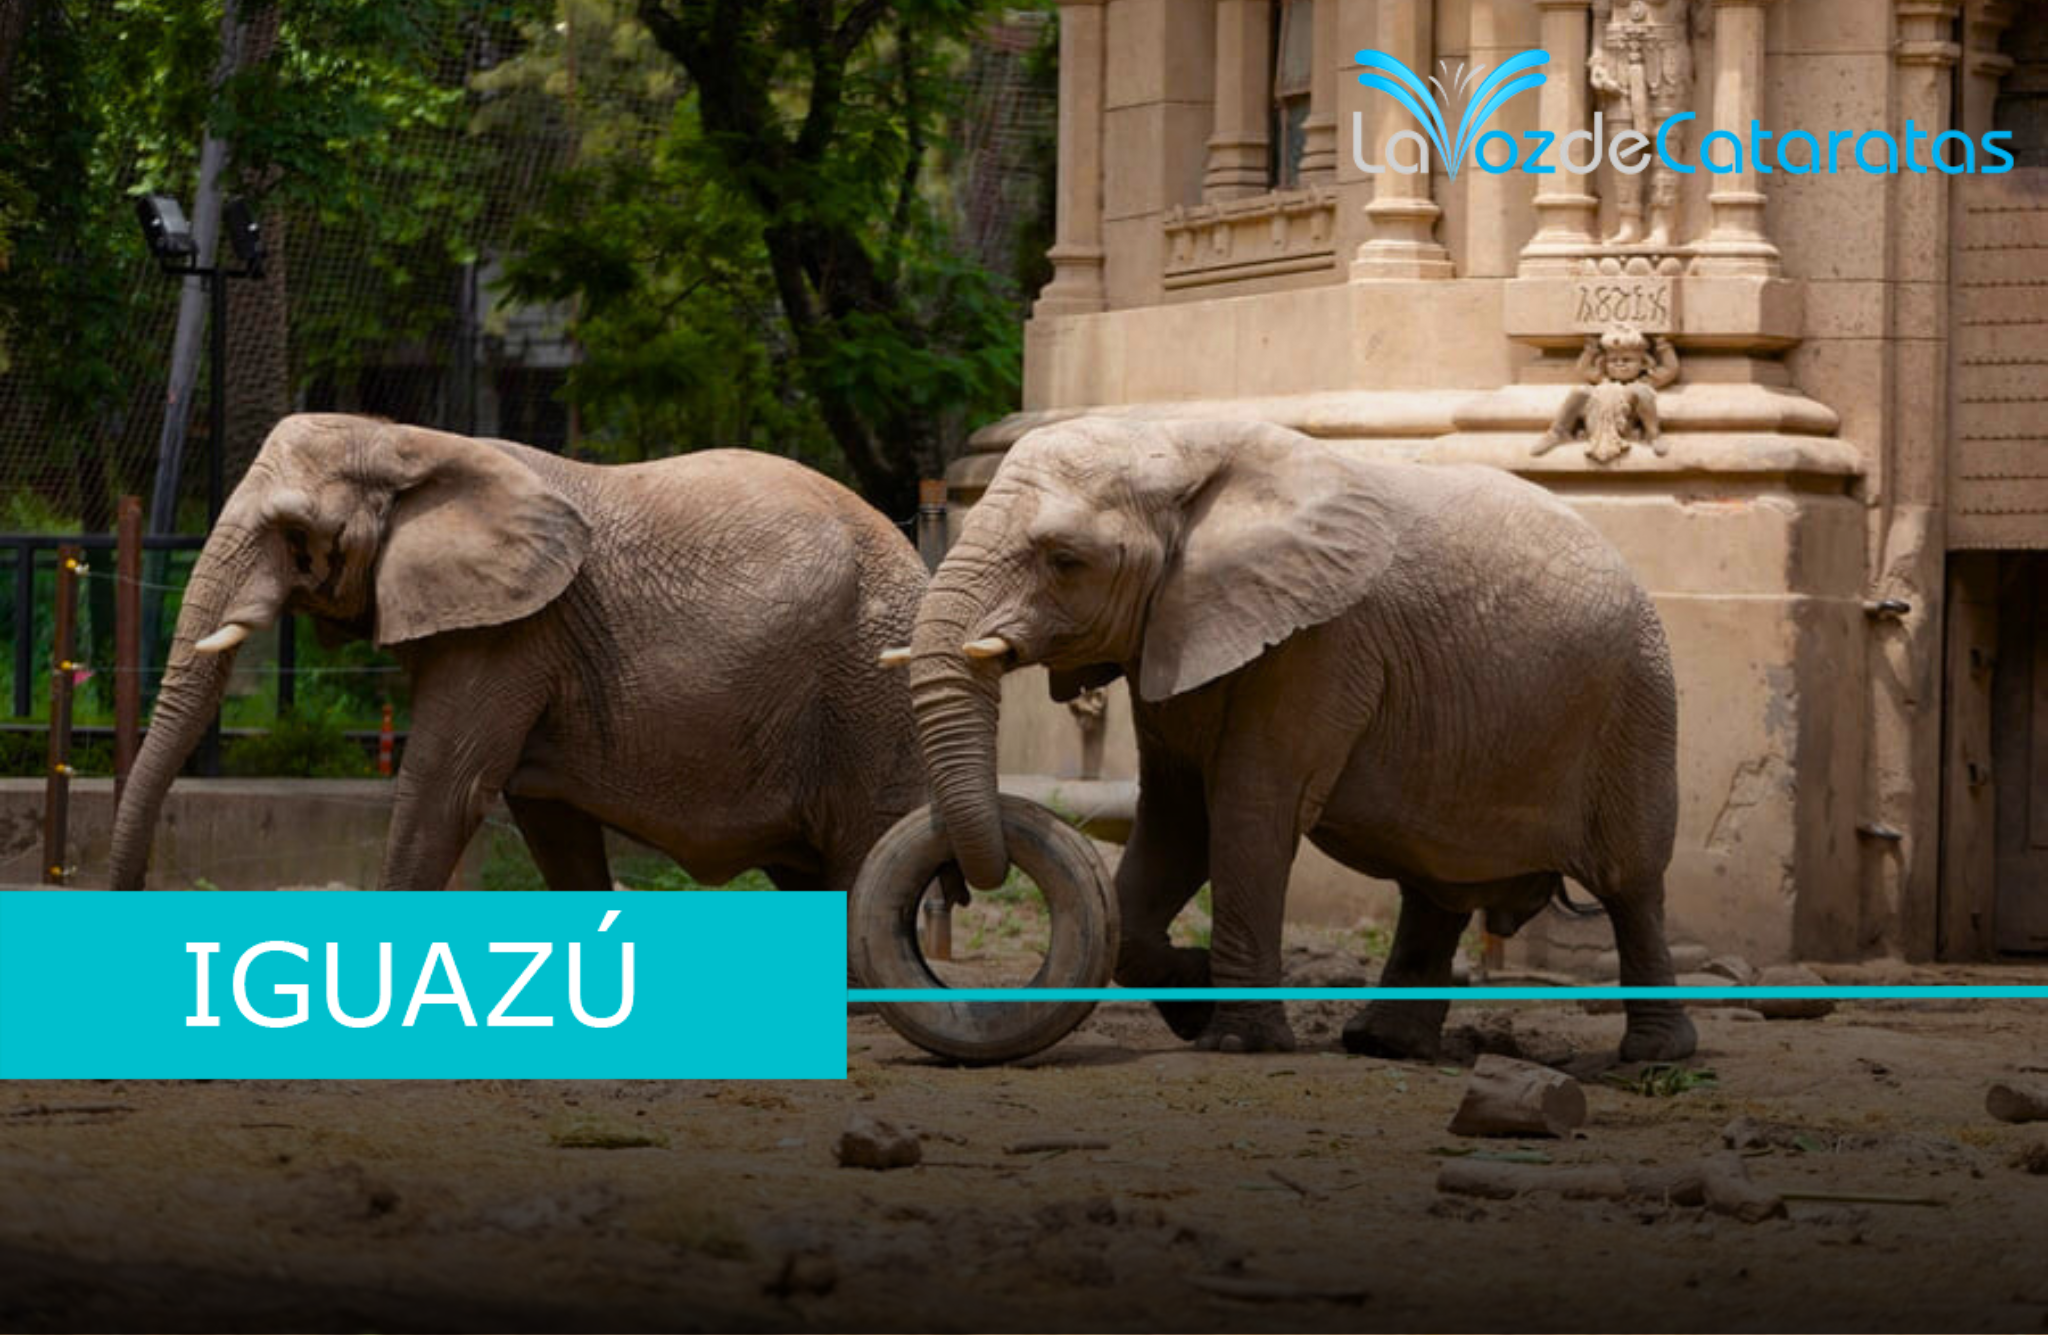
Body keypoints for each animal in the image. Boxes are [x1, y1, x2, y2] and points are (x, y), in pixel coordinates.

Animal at [109, 413, 929, 899]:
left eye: (294, 535)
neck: (404, 439)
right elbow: (546, 817)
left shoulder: (514, 633)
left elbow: (445, 790)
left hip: (869, 691)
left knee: (865, 849)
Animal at [906, 416, 1697, 1063]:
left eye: (1064, 559)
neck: (1180, 439)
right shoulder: (1177, 628)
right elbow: (1175, 821)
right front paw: (1193, 997)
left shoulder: (1322, 643)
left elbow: (1248, 812)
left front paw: (1233, 1041)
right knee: (1435, 882)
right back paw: (1383, 1044)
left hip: (1638, 704)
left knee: (1631, 882)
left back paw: (1655, 1057)